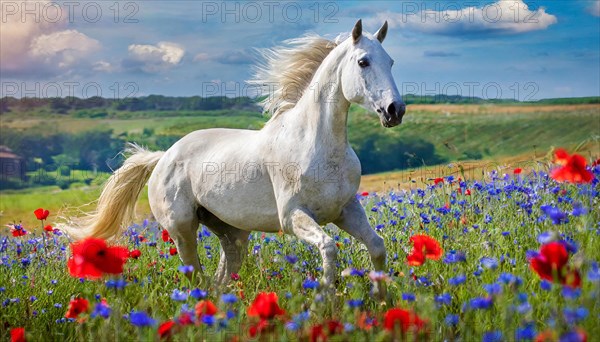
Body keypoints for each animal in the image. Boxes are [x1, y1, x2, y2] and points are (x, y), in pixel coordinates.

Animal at [68, 20, 406, 288]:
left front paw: (382, 301)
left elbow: (377, 247)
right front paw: (325, 301)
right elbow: (329, 248)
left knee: (221, 278)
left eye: (391, 62)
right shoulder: (293, 217)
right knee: (196, 277)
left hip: (233, 232)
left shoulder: (346, 210)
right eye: (363, 62)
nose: (395, 110)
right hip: (182, 230)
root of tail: (163, 156)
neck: (317, 146)